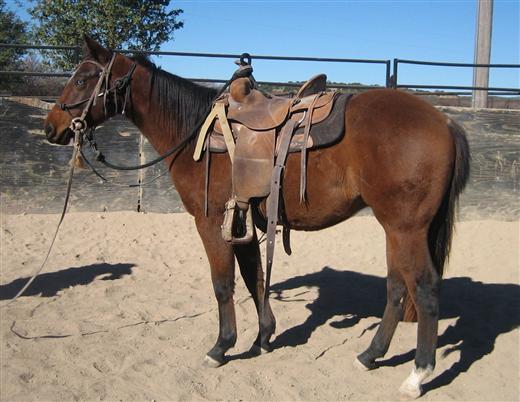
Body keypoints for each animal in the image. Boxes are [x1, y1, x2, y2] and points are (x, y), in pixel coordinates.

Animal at [42, 37, 470, 398]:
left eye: (83, 79)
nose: (51, 128)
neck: (196, 132)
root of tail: (443, 121)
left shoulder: (211, 221)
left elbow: (223, 284)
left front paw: (221, 346)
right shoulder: (242, 219)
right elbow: (254, 278)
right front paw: (264, 336)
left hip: (406, 228)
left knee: (425, 288)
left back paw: (417, 375)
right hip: (396, 229)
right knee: (397, 288)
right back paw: (370, 355)